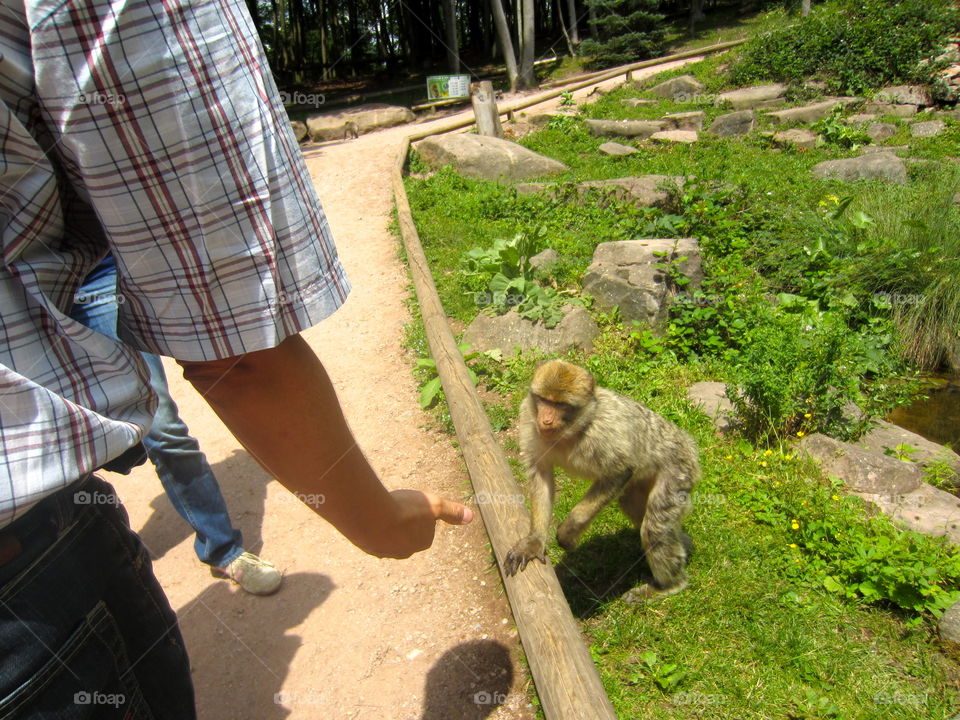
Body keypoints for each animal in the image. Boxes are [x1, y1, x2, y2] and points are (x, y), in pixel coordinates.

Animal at [504, 359, 700, 602]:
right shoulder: (529, 421)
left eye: (561, 405)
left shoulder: (603, 434)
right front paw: (535, 541)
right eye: (544, 400)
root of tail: (688, 445)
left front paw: (568, 532)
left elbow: (620, 470)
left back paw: (669, 585)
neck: (571, 432)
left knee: (654, 527)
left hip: (677, 470)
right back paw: (684, 544)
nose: (546, 420)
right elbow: (541, 475)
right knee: (632, 506)